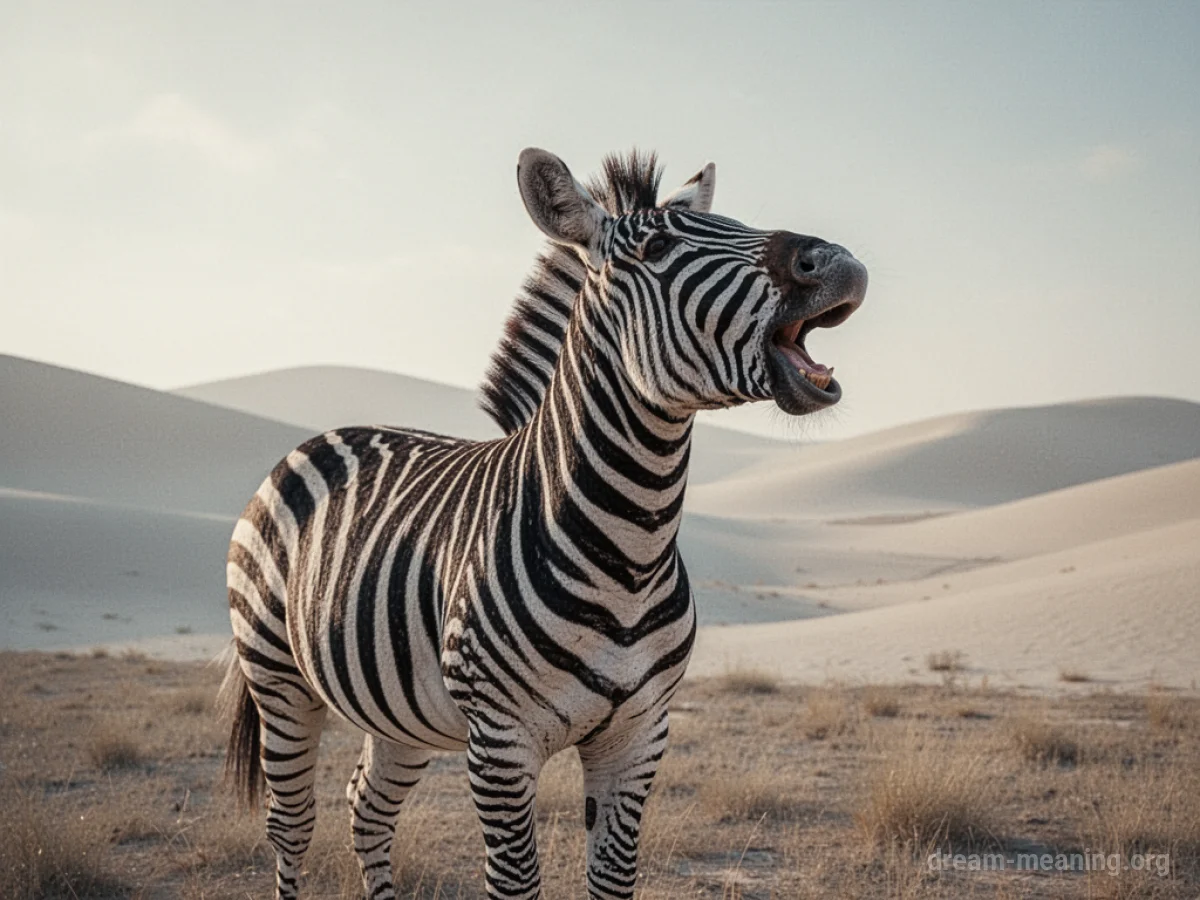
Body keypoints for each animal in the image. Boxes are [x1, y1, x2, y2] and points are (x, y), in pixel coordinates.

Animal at [221, 147, 868, 900]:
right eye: (655, 248)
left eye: (734, 221)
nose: (838, 262)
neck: (631, 550)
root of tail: (325, 436)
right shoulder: (501, 743)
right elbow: (516, 881)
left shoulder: (639, 736)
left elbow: (614, 877)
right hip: (278, 678)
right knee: (292, 826)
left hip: (400, 713)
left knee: (367, 809)